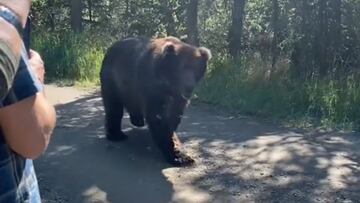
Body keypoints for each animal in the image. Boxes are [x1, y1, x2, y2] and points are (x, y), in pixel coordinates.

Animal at [99, 36, 211, 167]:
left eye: (196, 68)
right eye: (182, 67)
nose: (189, 86)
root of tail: (111, 47)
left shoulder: (178, 98)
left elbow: (174, 116)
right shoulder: (152, 87)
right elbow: (158, 118)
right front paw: (177, 156)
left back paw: (137, 121)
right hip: (113, 80)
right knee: (114, 107)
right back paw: (116, 135)